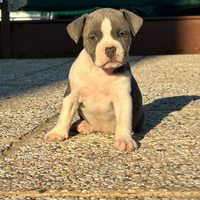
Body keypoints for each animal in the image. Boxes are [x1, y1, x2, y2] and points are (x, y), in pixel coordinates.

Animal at [44, 7, 145, 152]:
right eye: (93, 37)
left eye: (121, 34)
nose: (110, 49)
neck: (100, 71)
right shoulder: (72, 96)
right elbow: (64, 115)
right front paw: (57, 133)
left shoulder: (122, 98)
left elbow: (124, 121)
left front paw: (124, 140)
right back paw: (81, 124)